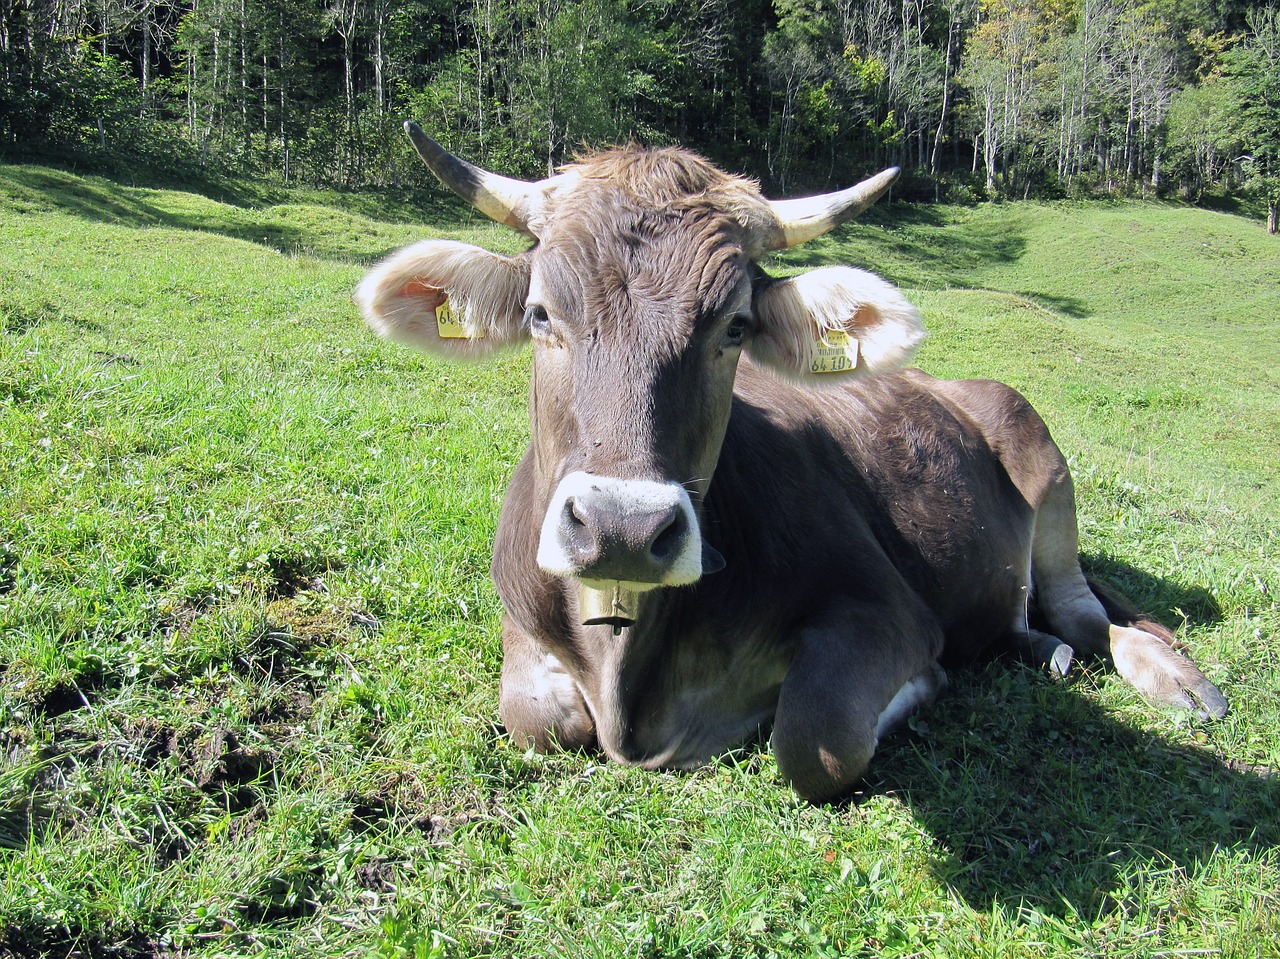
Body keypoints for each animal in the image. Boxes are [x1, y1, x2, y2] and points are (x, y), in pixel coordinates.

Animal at [353, 123, 1228, 804]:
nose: (622, 527)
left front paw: (917, 687)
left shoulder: (887, 610)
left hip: (1045, 464)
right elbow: (536, 718)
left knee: (1087, 613)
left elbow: (815, 741)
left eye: (735, 325)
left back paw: (1176, 679)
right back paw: (1041, 652)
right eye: (540, 313)